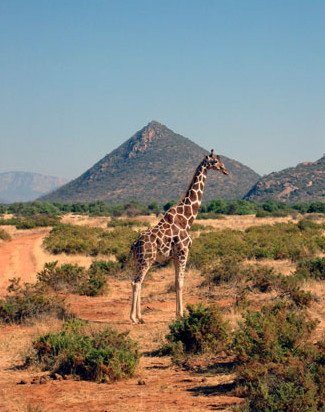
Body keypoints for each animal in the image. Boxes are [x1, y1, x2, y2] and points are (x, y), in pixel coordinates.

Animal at [129, 150, 228, 324]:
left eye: (220, 160)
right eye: (215, 161)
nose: (225, 170)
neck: (186, 218)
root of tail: (134, 244)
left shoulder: (175, 255)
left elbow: (176, 283)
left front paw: (177, 314)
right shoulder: (183, 251)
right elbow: (181, 283)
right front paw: (181, 315)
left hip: (140, 260)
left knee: (139, 283)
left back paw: (140, 317)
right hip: (146, 259)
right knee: (136, 282)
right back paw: (133, 318)